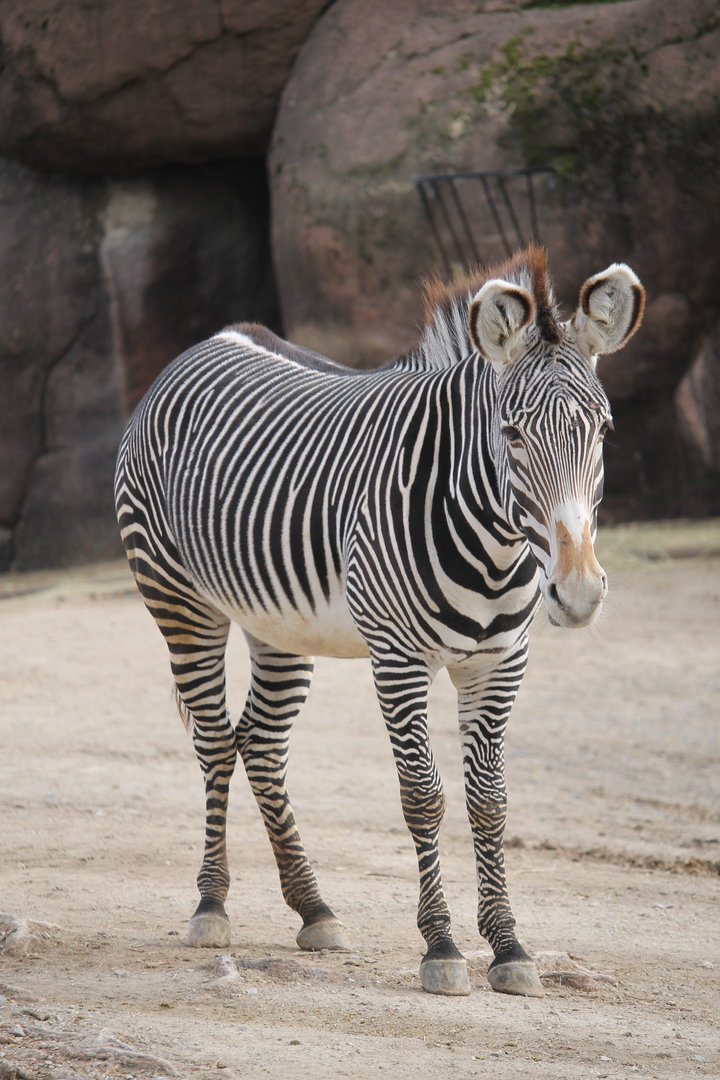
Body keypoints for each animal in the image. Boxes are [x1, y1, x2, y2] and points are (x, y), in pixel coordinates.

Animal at [115, 244, 644, 998]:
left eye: (601, 430)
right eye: (511, 434)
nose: (576, 594)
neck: (495, 543)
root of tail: (212, 340)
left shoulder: (501, 661)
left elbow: (490, 801)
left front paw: (509, 948)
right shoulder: (398, 658)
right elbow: (423, 796)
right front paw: (443, 947)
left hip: (279, 627)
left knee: (261, 744)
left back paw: (314, 908)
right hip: (180, 600)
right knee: (216, 741)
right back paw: (212, 904)